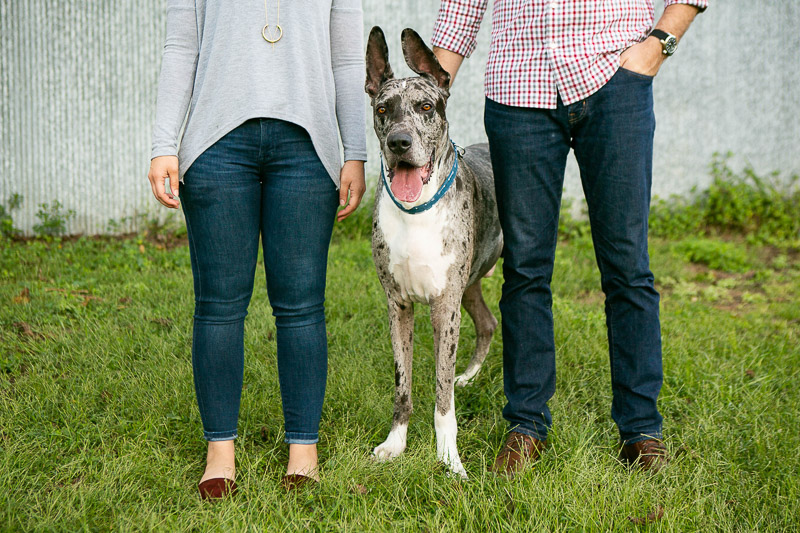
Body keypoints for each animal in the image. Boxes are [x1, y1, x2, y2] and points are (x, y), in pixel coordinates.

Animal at [366, 26, 504, 478]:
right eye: (382, 109)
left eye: (426, 106)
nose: (399, 142)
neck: (417, 211)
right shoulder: (398, 305)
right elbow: (402, 387)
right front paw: (395, 443)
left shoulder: (445, 309)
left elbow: (443, 399)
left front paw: (449, 459)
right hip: (471, 283)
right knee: (488, 323)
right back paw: (470, 377)